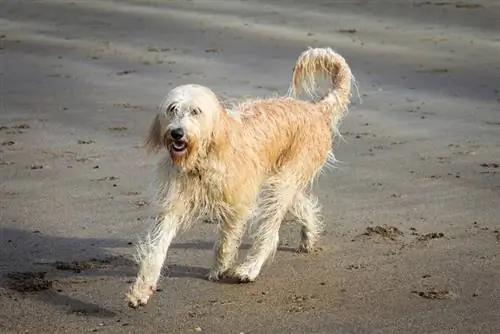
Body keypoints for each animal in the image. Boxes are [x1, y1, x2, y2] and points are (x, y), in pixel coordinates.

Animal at [127, 47, 354, 308]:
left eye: (195, 111)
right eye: (172, 109)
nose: (177, 133)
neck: (205, 157)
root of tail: (316, 110)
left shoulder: (238, 203)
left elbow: (225, 242)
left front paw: (221, 267)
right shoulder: (172, 207)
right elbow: (156, 248)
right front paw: (141, 290)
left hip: (282, 183)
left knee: (270, 233)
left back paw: (249, 268)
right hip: (280, 180)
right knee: (302, 204)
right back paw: (308, 237)